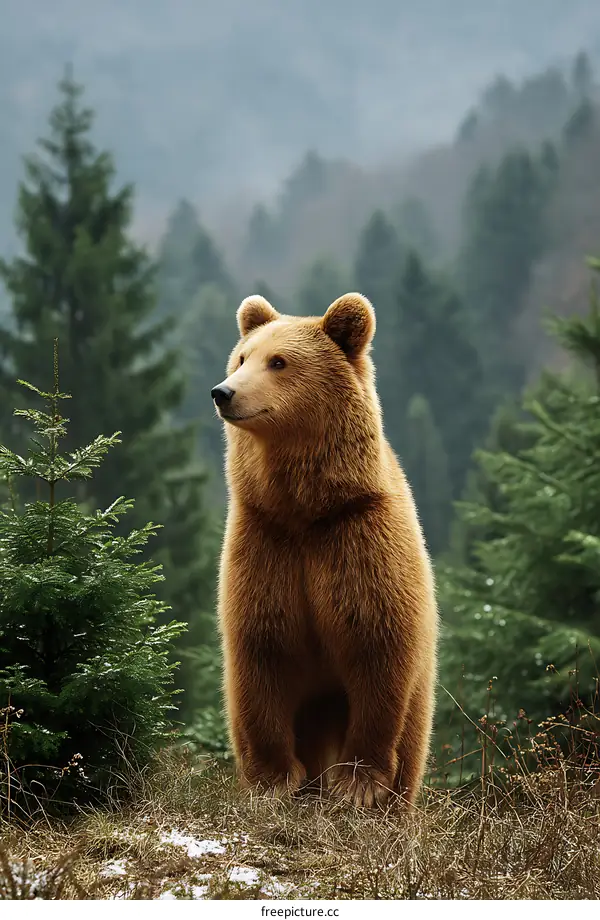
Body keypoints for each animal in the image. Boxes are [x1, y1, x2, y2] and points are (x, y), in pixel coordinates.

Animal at [211, 292, 438, 807]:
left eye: (278, 361)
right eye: (241, 357)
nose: (223, 392)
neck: (304, 510)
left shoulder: (357, 539)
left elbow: (377, 650)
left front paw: (358, 784)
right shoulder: (265, 544)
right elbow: (263, 654)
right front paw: (274, 778)